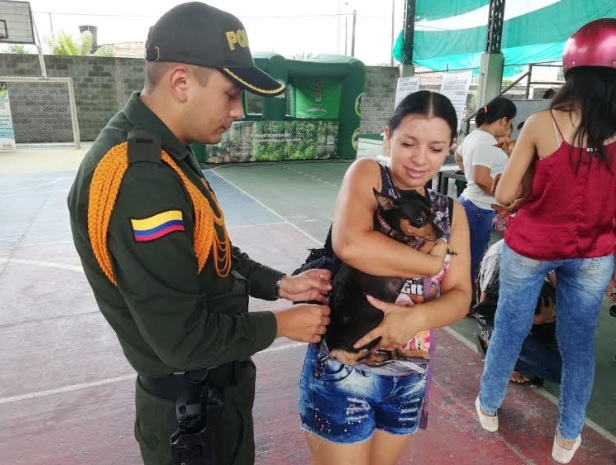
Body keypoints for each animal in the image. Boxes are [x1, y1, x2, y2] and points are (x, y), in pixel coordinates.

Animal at [328, 187, 442, 364]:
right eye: (418, 219)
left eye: (433, 213)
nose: (441, 233)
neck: (389, 228)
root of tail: (335, 351)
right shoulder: (412, 258)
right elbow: (425, 246)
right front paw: (440, 244)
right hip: (378, 326)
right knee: (384, 353)